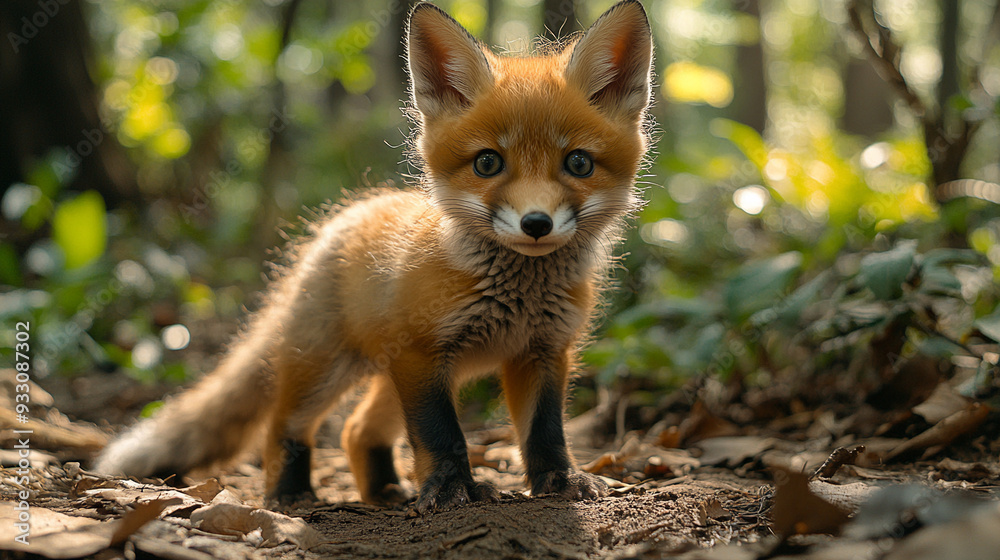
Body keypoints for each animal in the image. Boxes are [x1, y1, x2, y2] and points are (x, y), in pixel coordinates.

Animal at [95, 0, 653, 513]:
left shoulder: (542, 351)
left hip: (421, 373)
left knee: (358, 429)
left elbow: (545, 431)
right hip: (328, 368)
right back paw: (290, 494)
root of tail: (343, 218)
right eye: (487, 163)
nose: (535, 224)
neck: (517, 295)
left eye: (578, 163)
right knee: (285, 424)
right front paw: (451, 490)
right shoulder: (423, 357)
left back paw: (383, 490)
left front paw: (559, 481)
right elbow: (441, 436)